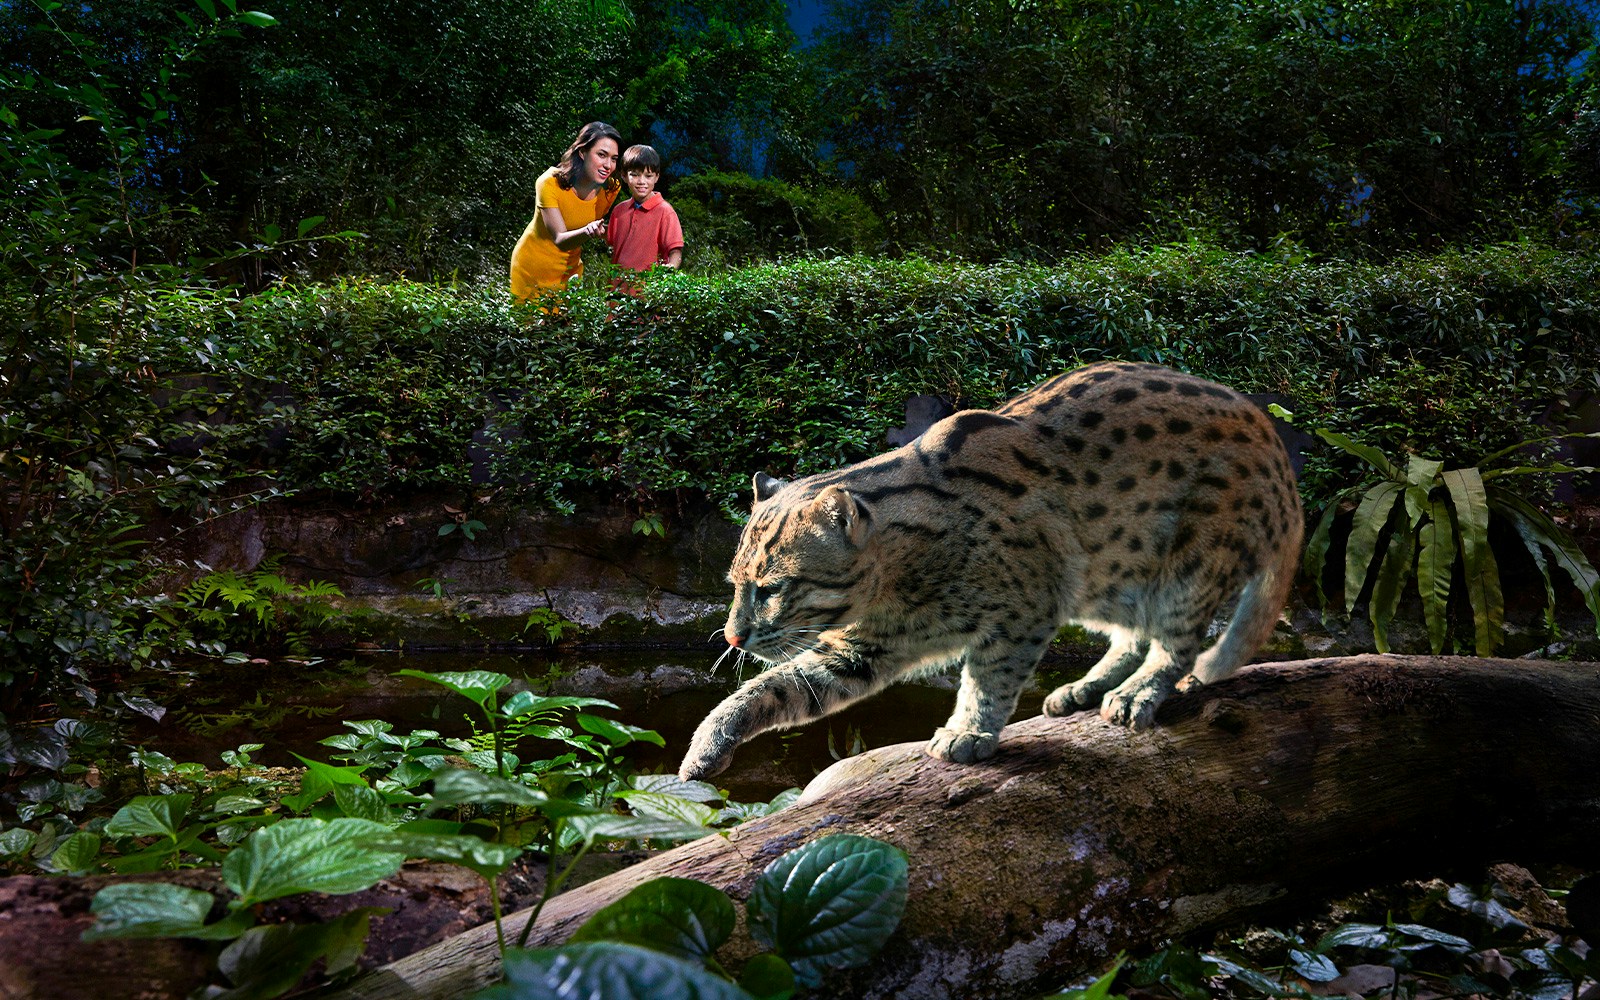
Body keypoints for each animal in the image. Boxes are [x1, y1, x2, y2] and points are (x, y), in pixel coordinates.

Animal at [678, 361, 1303, 782]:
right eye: (734, 586)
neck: (898, 586)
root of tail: (1275, 448)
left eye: (772, 589)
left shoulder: (1024, 611)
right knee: (1134, 636)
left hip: (1188, 565)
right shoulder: (862, 651)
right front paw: (707, 743)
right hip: (1108, 577)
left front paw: (969, 730)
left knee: (1176, 644)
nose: (732, 637)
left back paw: (1135, 692)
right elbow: (774, 688)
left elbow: (990, 679)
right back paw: (1087, 686)